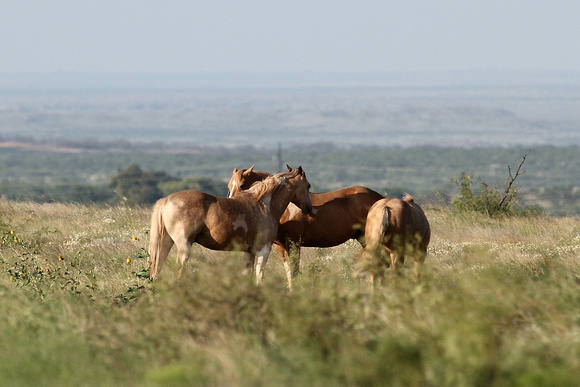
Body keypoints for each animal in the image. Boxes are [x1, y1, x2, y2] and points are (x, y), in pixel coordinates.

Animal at [148, 165, 312, 286]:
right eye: (308, 186)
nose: (309, 208)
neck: (264, 205)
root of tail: (165, 201)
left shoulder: (249, 252)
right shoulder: (263, 250)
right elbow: (259, 278)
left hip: (166, 243)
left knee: (156, 272)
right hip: (184, 247)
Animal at [228, 165, 386, 286]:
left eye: (242, 185)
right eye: (229, 186)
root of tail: (381, 199)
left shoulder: (293, 244)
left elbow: (294, 272)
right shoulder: (280, 246)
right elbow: (289, 272)